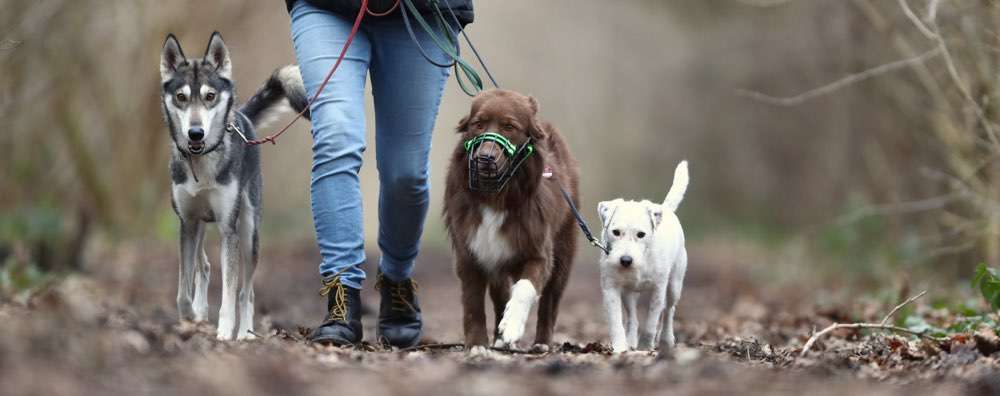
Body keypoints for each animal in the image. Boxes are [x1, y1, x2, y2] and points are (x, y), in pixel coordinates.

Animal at [160, 31, 306, 340]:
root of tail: (243, 117)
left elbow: (229, 291)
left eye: (210, 96)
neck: (201, 162)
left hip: (250, 234)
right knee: (203, 266)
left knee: (246, 292)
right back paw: (201, 312)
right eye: (181, 97)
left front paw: (225, 331)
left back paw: (245, 333)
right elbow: (182, 289)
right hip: (201, 225)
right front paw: (190, 316)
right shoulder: (187, 223)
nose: (195, 133)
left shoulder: (229, 229)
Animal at [444, 89, 580, 350]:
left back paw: (541, 343)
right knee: (500, 295)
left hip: (563, 254)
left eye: (509, 127)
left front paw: (512, 325)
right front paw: (477, 344)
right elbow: (473, 302)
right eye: (478, 124)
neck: (495, 196)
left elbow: (525, 288)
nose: (485, 158)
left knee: (549, 302)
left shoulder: (538, 252)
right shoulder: (471, 252)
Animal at [592, 161, 688, 352]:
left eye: (641, 234)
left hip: (674, 284)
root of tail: (665, 209)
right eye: (616, 232)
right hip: (628, 294)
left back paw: (666, 339)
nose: (625, 260)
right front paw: (620, 347)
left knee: (669, 310)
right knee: (632, 318)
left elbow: (651, 322)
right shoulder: (611, 288)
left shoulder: (658, 289)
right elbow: (616, 322)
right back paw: (630, 341)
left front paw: (645, 346)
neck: (643, 260)